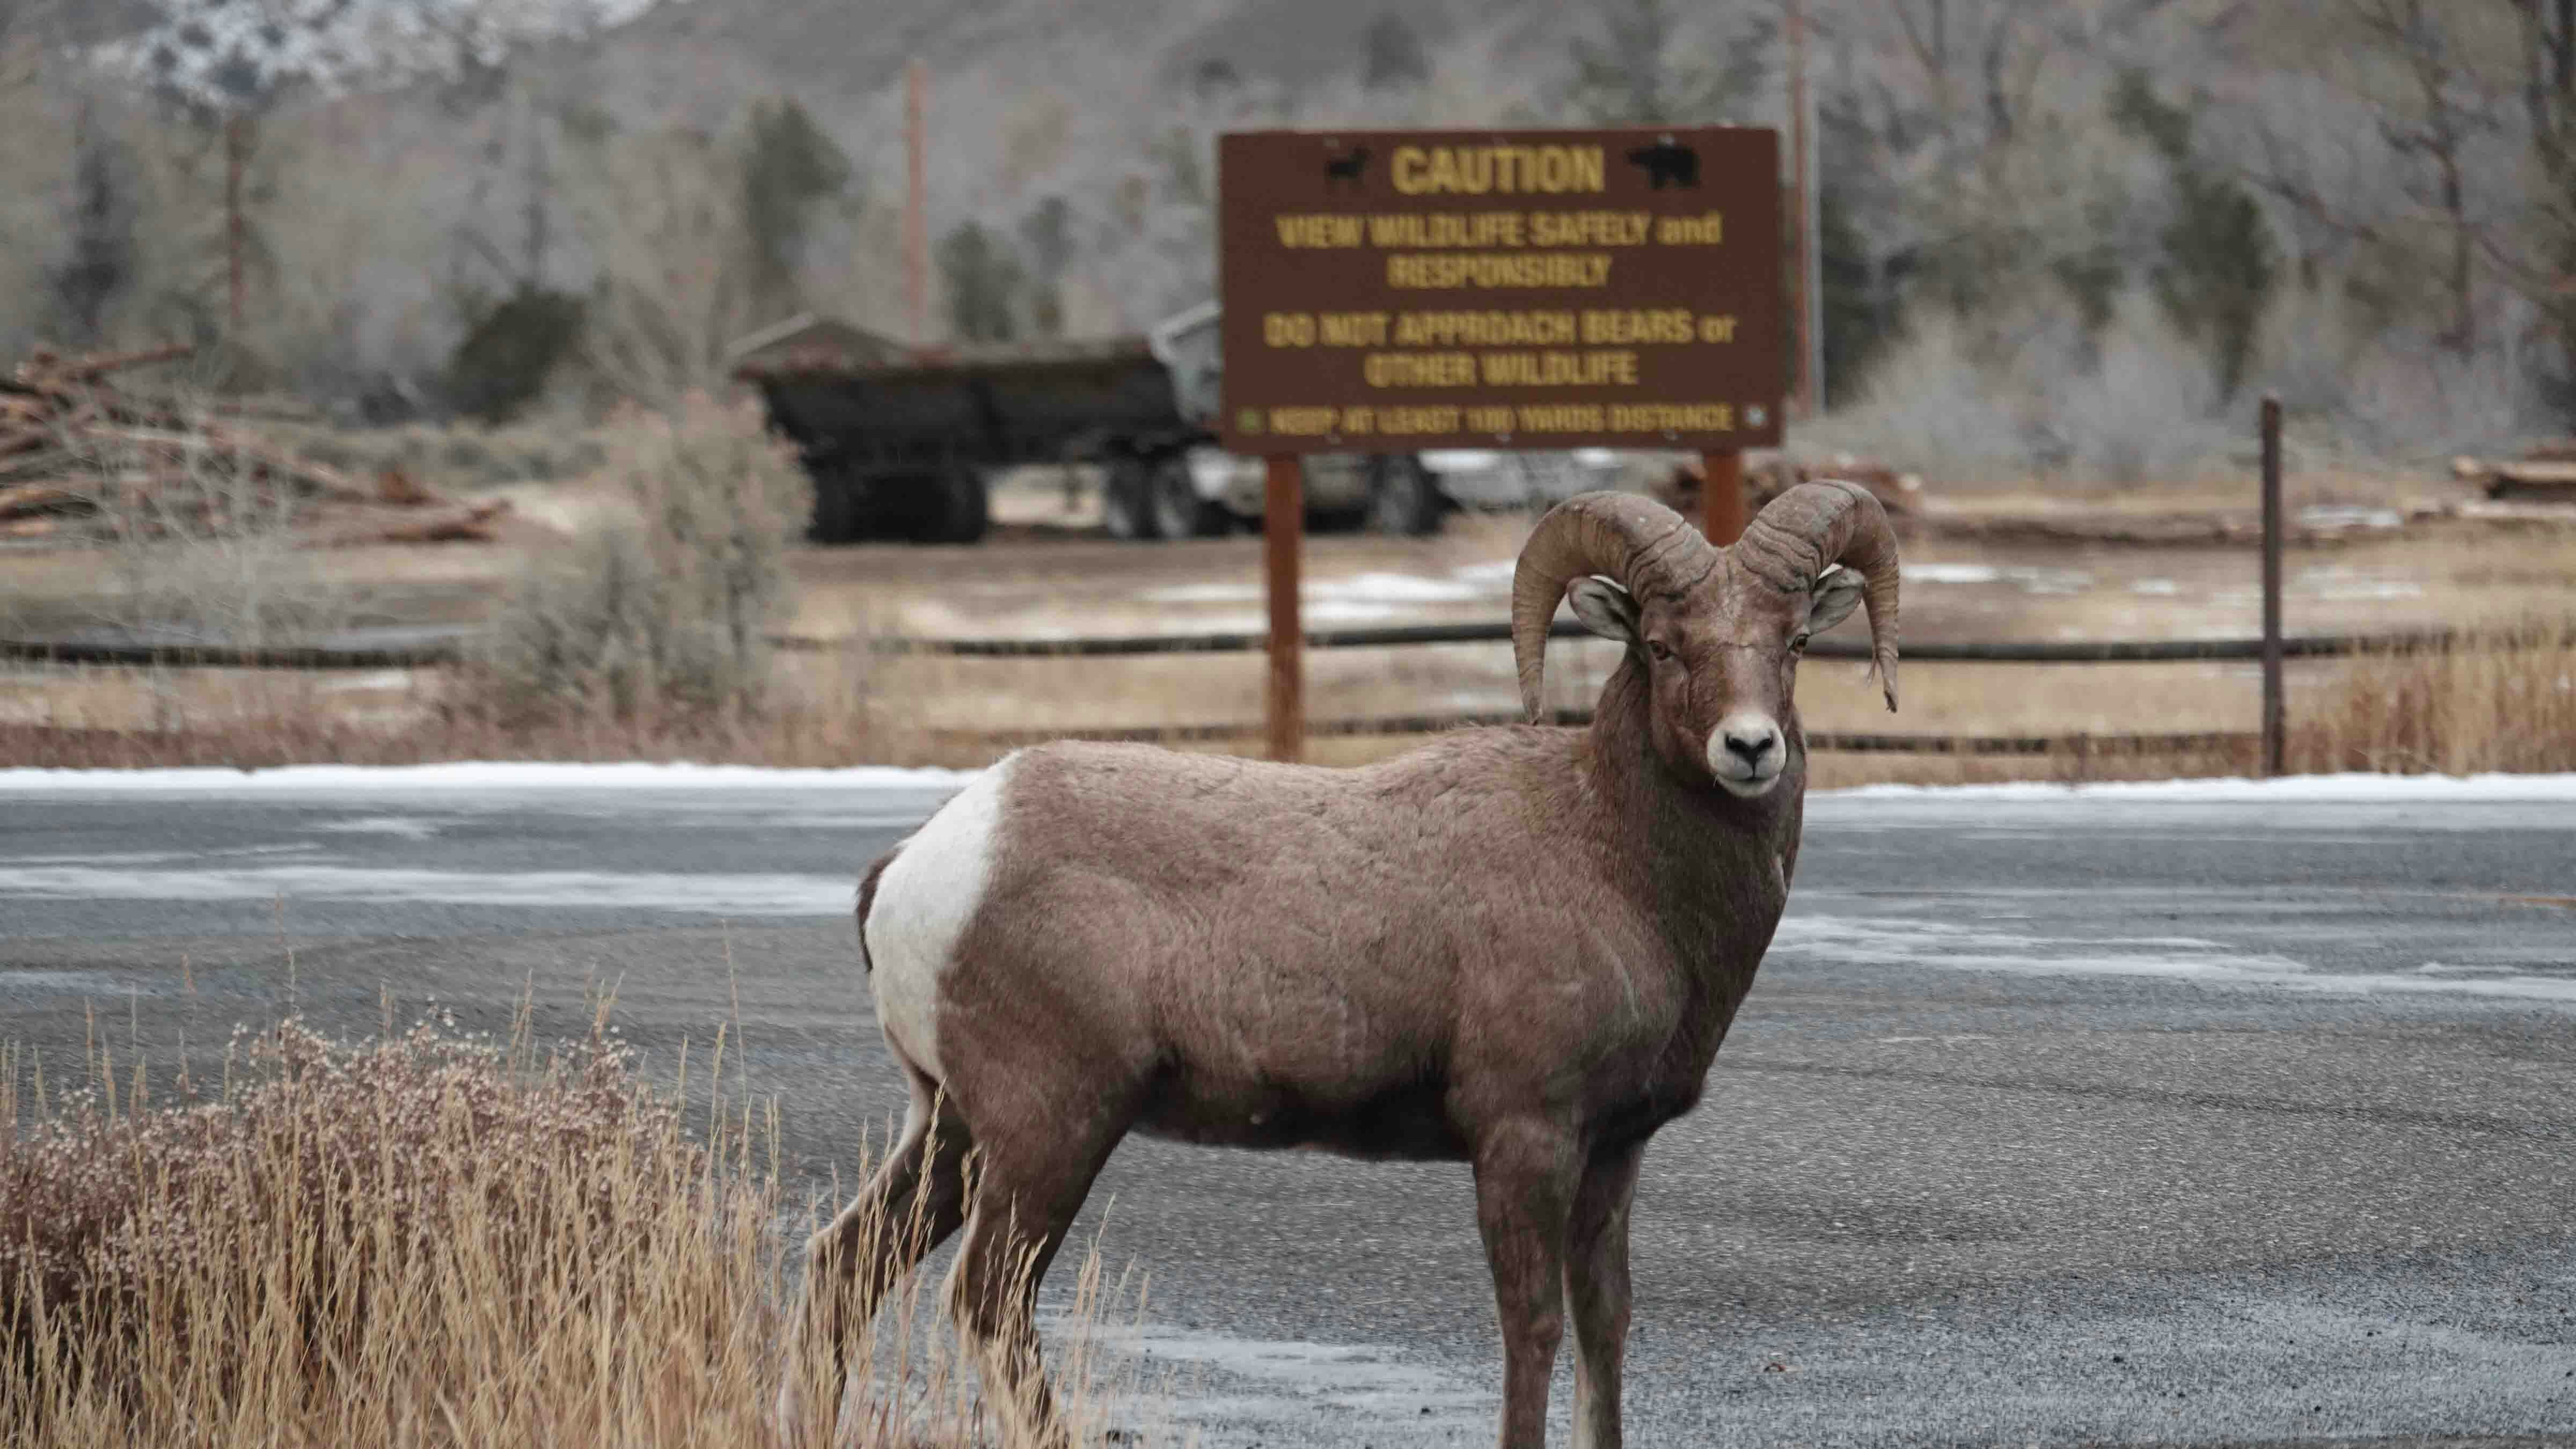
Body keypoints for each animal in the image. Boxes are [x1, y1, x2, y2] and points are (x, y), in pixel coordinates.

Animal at [779, 481, 1901, 1449]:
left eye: (1797, 641)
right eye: (1664, 646)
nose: (1748, 749)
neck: (1614, 860)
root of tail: (924, 862)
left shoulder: (1613, 1154)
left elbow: (1604, 1332)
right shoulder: (1524, 1139)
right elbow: (1532, 1333)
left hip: (953, 1130)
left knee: (844, 1268)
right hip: (1049, 1130)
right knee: (989, 1304)